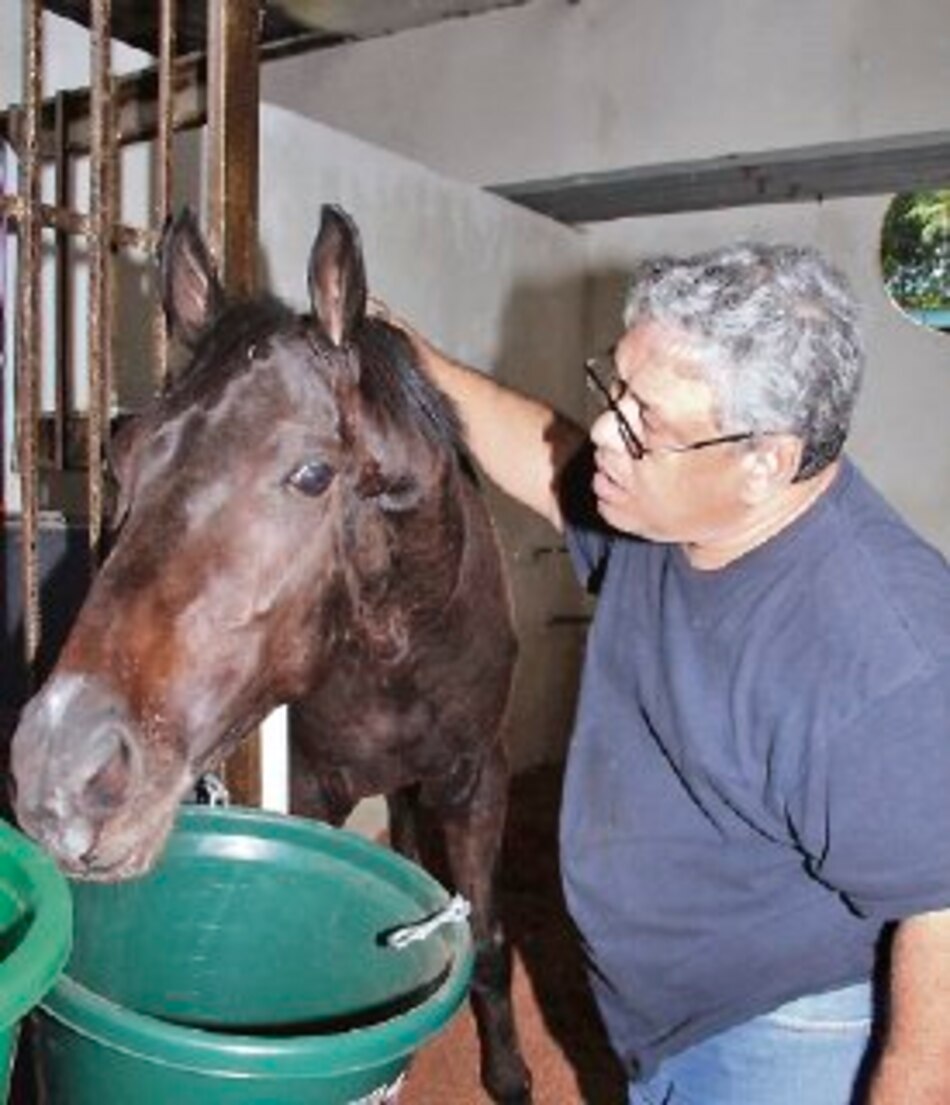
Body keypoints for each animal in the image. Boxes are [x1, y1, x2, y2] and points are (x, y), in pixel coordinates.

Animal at [11, 205, 531, 1104]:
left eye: (314, 473)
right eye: (120, 453)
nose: (58, 771)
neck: (395, 650)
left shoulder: (476, 779)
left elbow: (491, 940)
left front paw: (509, 1073)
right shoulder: (319, 783)